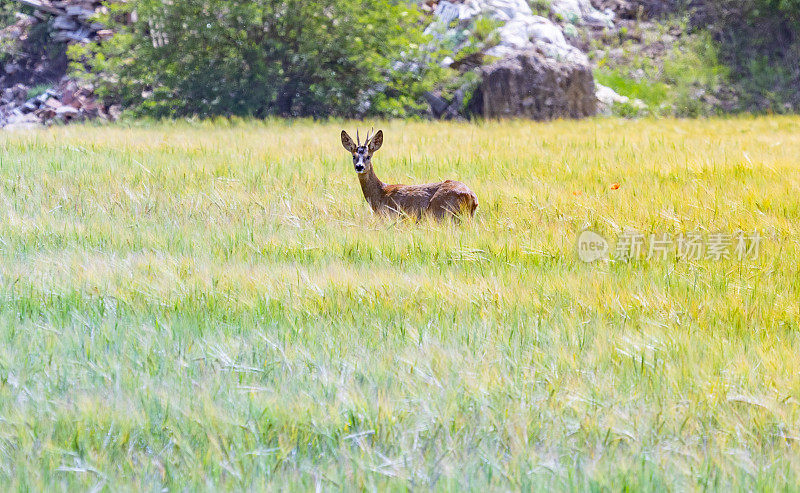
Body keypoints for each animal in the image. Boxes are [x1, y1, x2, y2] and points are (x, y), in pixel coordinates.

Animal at [340, 127, 478, 219]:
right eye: (353, 156)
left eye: (368, 156)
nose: (359, 166)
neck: (380, 194)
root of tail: (472, 196)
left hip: (441, 212)